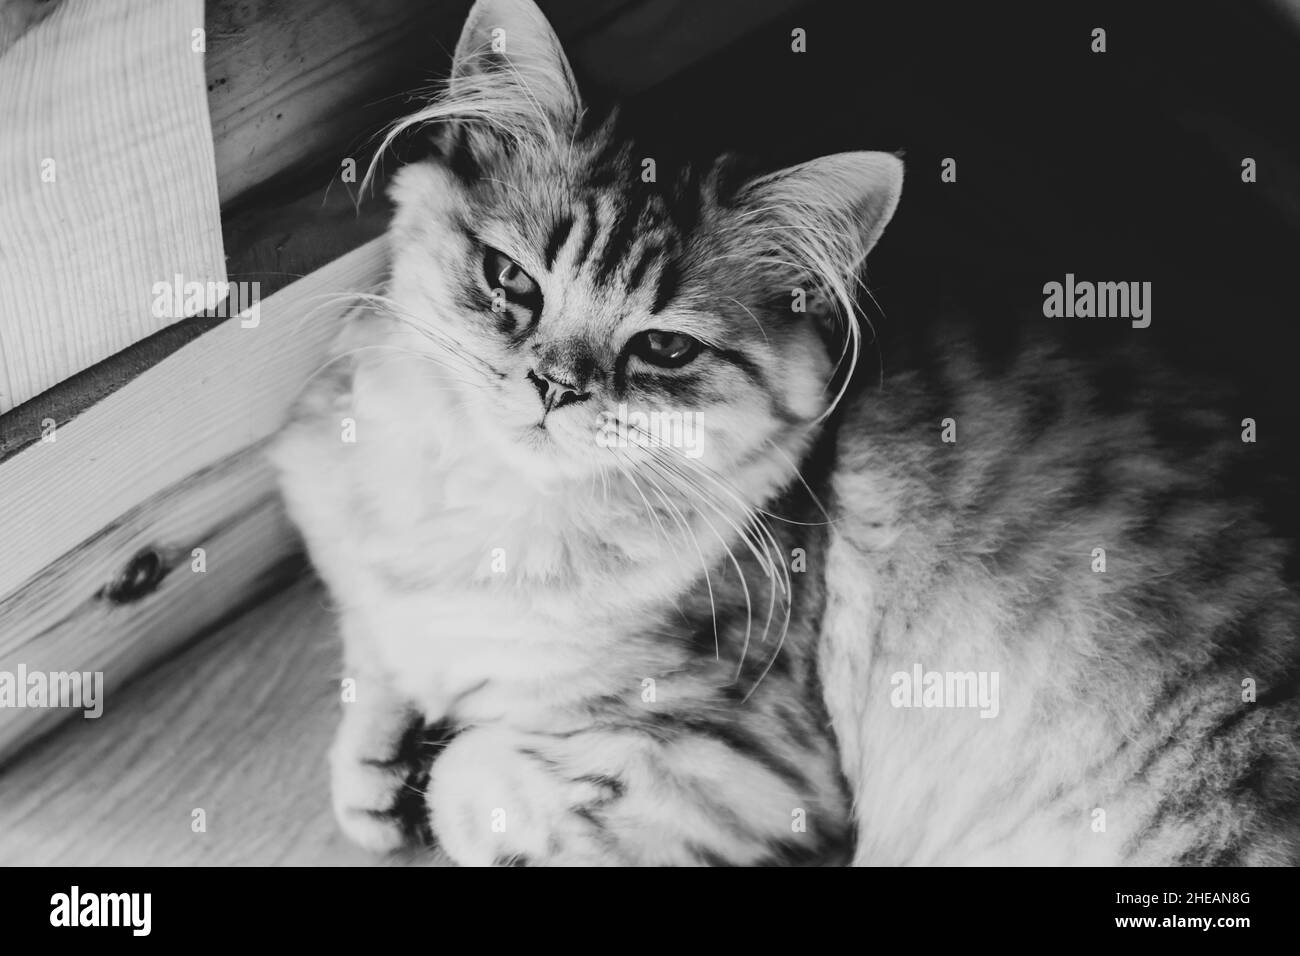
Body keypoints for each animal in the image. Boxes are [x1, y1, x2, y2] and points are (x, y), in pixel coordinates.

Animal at [266, 0, 1300, 868]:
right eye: (511, 280)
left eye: (665, 347)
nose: (555, 388)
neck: (474, 523)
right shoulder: (365, 572)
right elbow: (376, 665)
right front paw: (376, 779)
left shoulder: (754, 766)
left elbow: (477, 773)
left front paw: (437, 787)